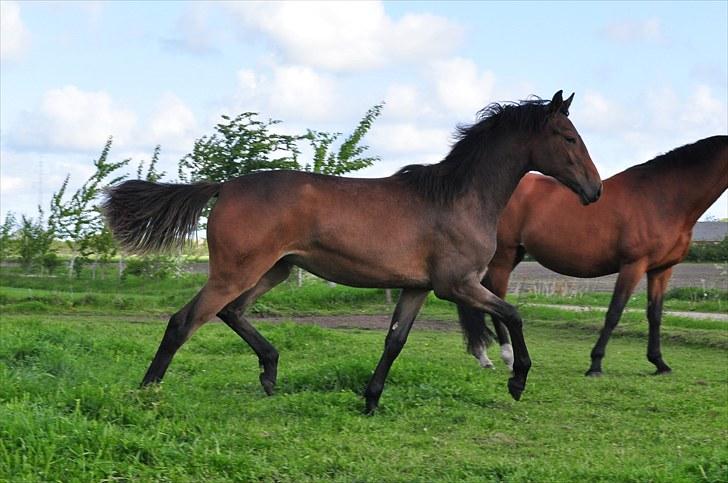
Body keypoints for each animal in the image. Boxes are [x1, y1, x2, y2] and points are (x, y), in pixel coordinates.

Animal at [102, 91, 604, 412]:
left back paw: (270, 372)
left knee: (232, 312)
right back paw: (146, 394)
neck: (458, 197)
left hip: (273, 271)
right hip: (237, 272)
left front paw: (370, 399)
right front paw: (517, 380)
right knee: (183, 321)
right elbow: (514, 313)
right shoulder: (457, 285)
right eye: (568, 137)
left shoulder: (418, 288)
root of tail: (225, 185)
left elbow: (395, 341)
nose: (594, 190)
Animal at [460, 135, 728, 378]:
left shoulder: (660, 270)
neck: (663, 198)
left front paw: (659, 363)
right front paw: (595, 365)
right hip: (503, 258)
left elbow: (655, 315)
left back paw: (483, 356)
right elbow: (614, 313)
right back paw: (507, 356)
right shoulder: (633, 265)